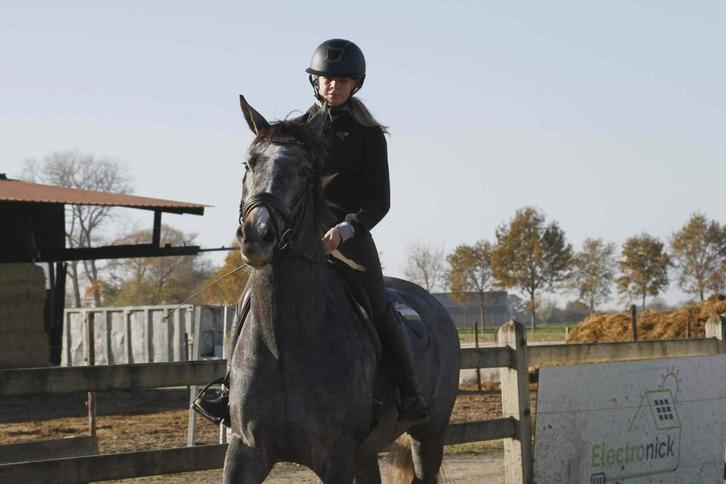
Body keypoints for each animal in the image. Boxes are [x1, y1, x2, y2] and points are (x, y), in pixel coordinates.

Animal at [223, 96, 460, 483]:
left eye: (305, 171)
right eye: (249, 162)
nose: (258, 236)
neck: (283, 344)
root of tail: (432, 303)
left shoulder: (334, 456)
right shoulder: (244, 451)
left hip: (430, 435)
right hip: (365, 452)